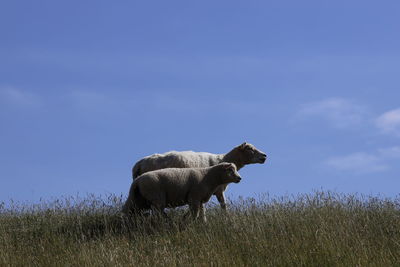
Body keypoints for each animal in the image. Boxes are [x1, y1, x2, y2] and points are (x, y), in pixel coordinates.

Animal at [133, 143, 268, 210]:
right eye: (250, 149)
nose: (264, 156)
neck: (223, 159)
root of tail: (139, 163)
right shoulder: (218, 190)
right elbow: (223, 206)